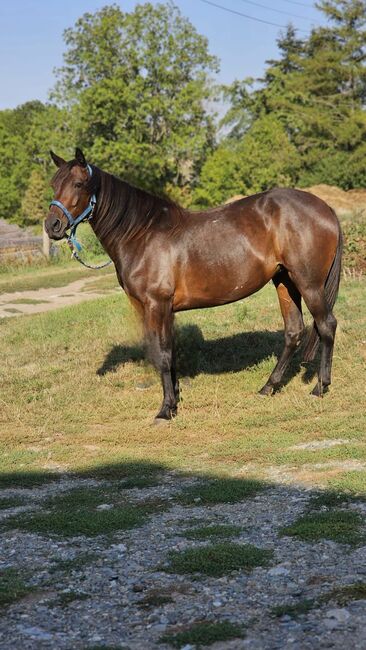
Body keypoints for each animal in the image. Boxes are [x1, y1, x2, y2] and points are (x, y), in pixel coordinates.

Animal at [45, 147, 344, 420]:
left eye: (78, 184)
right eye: (54, 184)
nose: (52, 226)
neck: (142, 233)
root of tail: (326, 208)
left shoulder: (156, 305)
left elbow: (162, 353)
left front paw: (165, 409)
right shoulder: (162, 309)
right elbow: (169, 352)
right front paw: (174, 398)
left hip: (308, 283)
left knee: (326, 325)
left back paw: (320, 387)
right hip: (284, 281)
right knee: (293, 332)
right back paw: (268, 388)